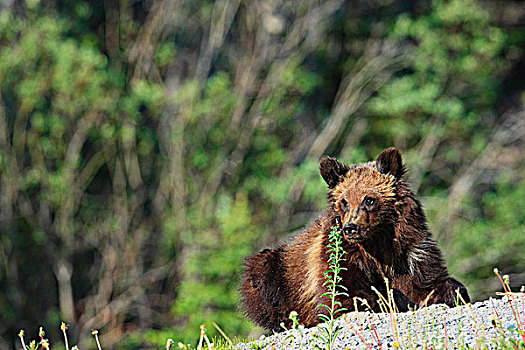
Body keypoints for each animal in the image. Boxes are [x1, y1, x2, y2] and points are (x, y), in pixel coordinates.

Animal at [239, 147, 468, 330]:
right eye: (344, 201)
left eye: (369, 199)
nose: (350, 227)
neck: (377, 243)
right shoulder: (341, 256)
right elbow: (342, 295)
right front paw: (397, 300)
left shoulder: (411, 252)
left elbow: (432, 281)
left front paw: (451, 293)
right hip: (277, 270)